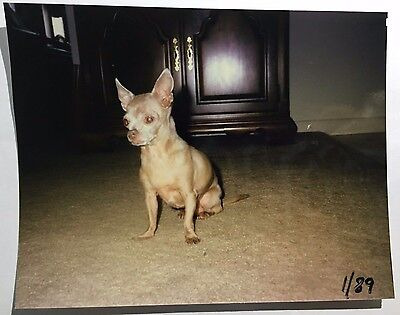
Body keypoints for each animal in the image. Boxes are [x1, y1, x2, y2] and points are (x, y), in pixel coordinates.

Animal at [114, 69, 248, 244]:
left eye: (149, 119)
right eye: (125, 122)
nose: (131, 134)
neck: (157, 156)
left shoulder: (189, 194)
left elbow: (188, 223)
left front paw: (190, 235)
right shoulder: (150, 196)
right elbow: (152, 218)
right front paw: (149, 233)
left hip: (209, 197)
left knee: (217, 208)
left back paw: (206, 213)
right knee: (192, 212)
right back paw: (185, 212)